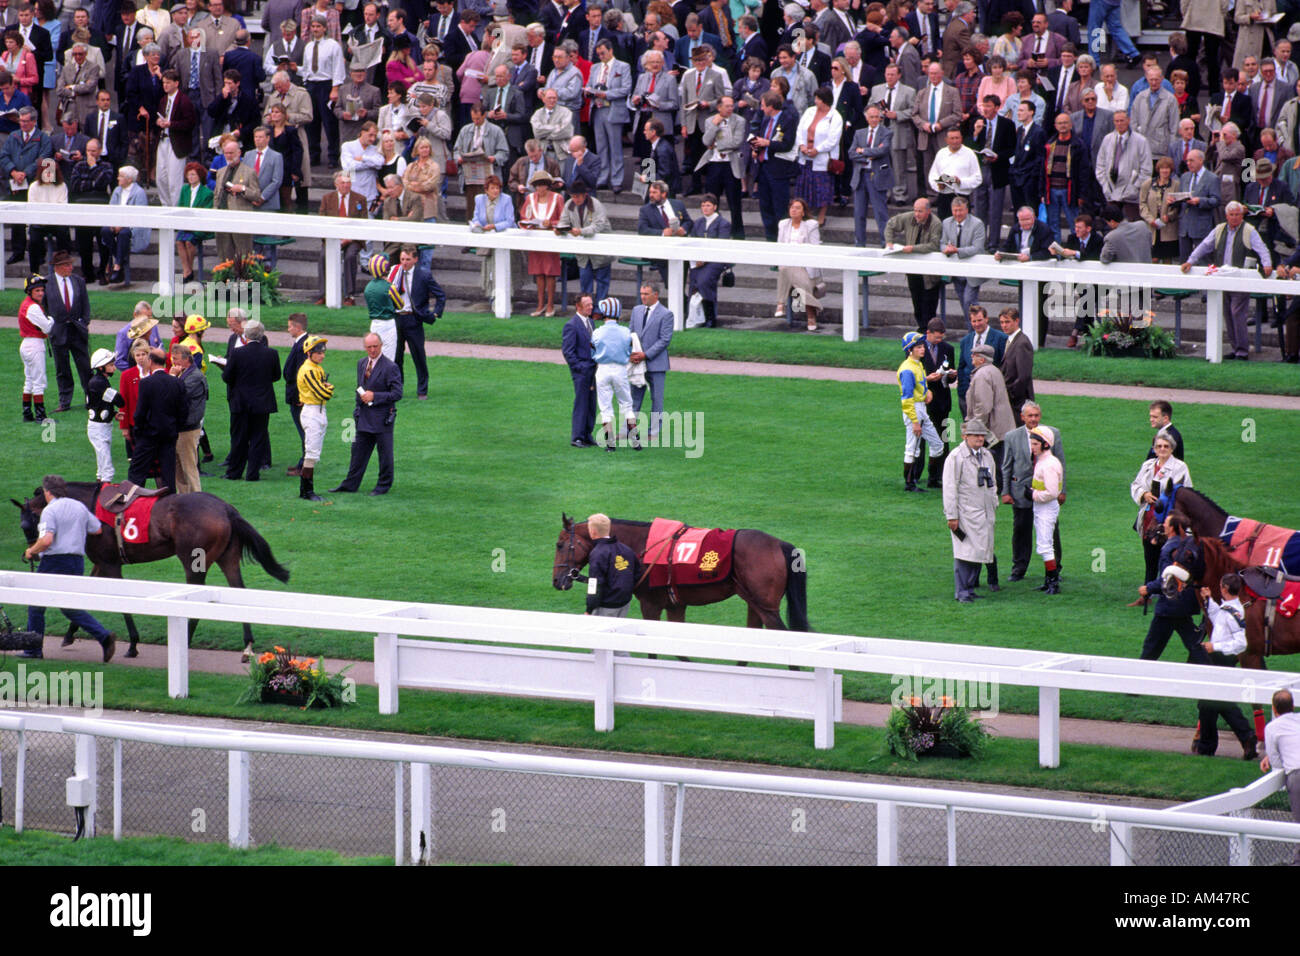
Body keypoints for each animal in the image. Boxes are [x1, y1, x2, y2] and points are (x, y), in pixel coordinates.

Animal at [12, 481, 288, 660]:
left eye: (26, 525)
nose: (32, 553)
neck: (87, 505)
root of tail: (225, 508)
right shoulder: (102, 562)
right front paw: (70, 634)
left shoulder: (111, 564)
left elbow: (121, 603)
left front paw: (132, 644)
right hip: (227, 557)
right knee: (238, 589)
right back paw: (247, 646)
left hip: (194, 561)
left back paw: (185, 641)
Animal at [546, 512, 806, 632]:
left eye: (559, 545)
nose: (557, 580)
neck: (642, 545)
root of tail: (779, 544)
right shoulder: (675, 604)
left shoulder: (650, 604)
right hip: (753, 602)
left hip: (766, 607)